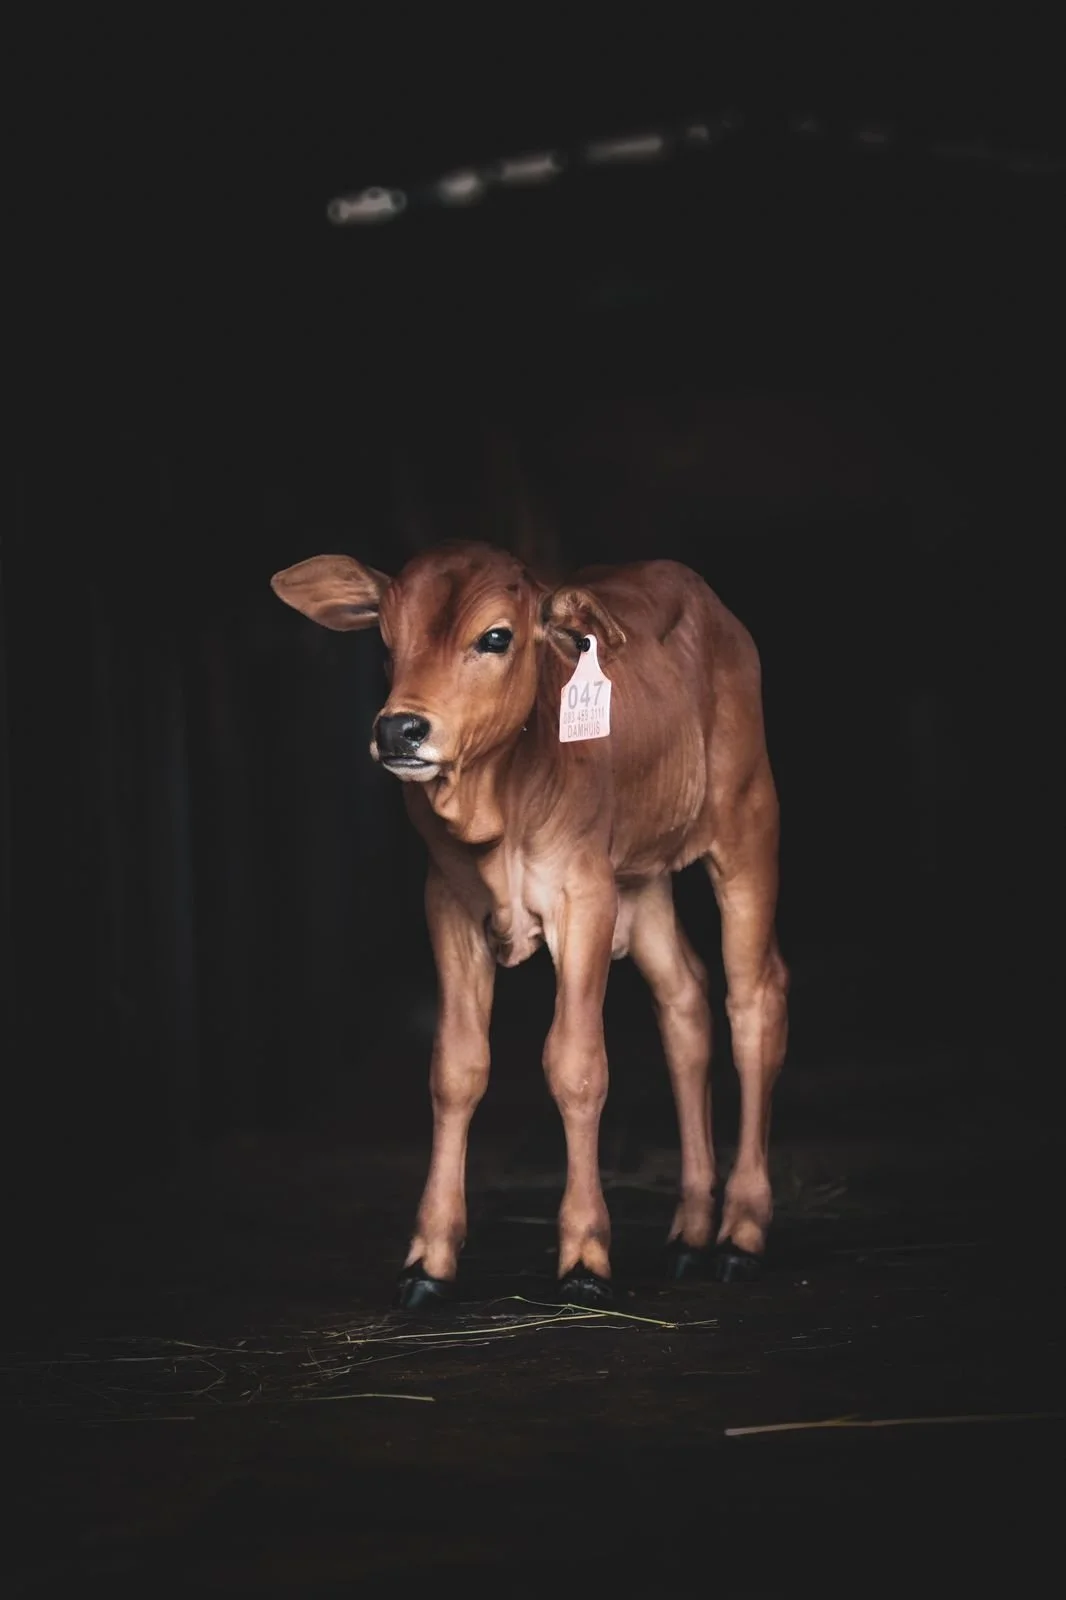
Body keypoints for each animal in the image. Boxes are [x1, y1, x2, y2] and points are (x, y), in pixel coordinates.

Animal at [271, 541, 788, 1307]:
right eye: (388, 641)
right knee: (685, 1002)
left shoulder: (585, 896)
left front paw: (584, 1254)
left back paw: (742, 1235)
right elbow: (456, 1068)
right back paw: (691, 1232)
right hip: (643, 881)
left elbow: (575, 1064)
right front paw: (429, 1259)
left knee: (752, 999)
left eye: (495, 637)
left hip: (746, 824)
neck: (498, 804)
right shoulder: (448, 903)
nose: (398, 729)